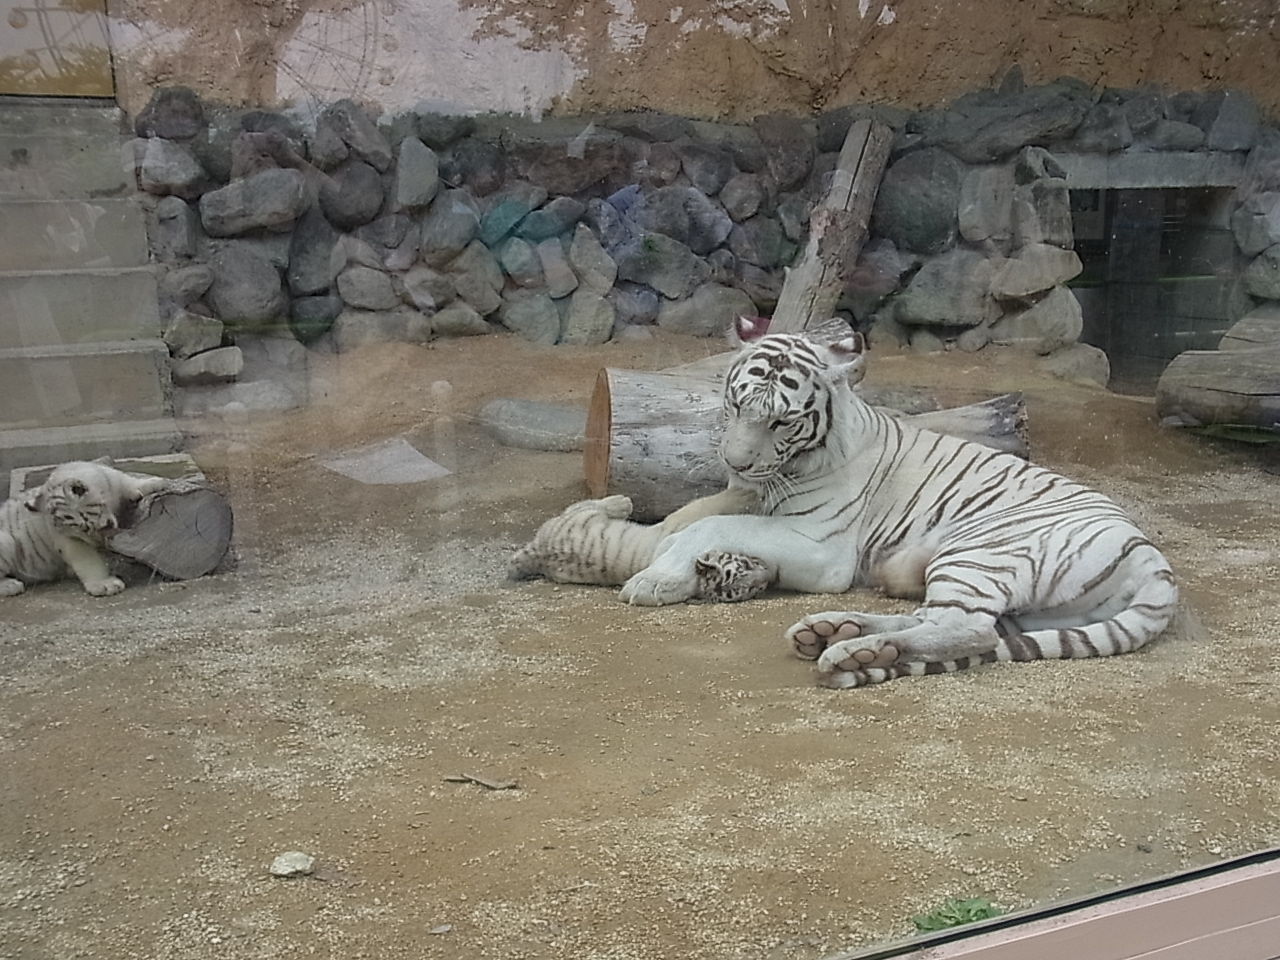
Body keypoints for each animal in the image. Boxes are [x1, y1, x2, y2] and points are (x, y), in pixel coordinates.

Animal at [0, 460, 167, 601]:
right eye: (83, 531)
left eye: (86, 527)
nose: (99, 543)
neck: (107, 499)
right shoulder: (67, 540)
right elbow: (86, 558)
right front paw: (105, 584)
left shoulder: (110, 478)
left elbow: (127, 481)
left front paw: (157, 483)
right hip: (6, 542)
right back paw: (11, 585)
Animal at [506, 496, 768, 601]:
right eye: (743, 564)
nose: (765, 575)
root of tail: (534, 551)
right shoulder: (673, 527)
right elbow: (705, 504)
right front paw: (745, 493)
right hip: (579, 516)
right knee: (585, 504)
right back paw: (622, 502)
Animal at [622, 323, 1177, 691]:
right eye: (736, 405)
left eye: (781, 421)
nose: (733, 461)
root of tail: (1153, 559)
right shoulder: (749, 494)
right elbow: (688, 517)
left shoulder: (822, 547)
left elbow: (711, 524)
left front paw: (654, 578)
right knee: (944, 621)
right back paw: (833, 633)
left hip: (979, 551)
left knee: (966, 628)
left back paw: (852, 649)